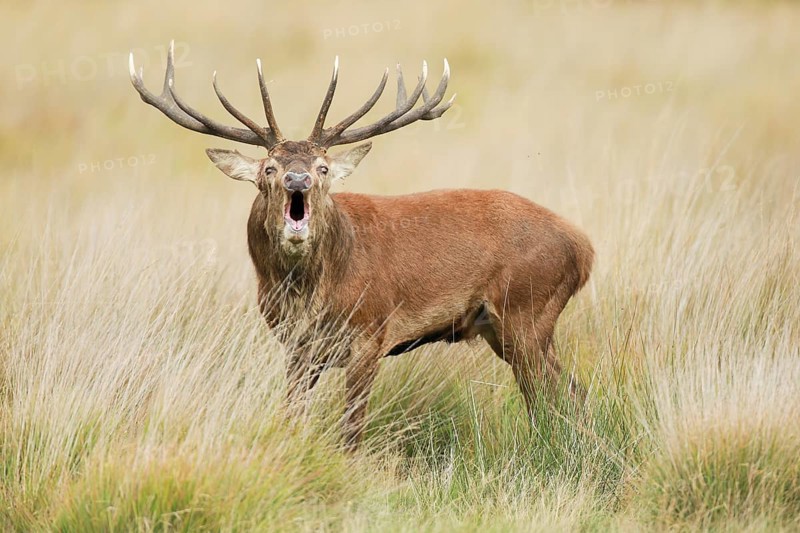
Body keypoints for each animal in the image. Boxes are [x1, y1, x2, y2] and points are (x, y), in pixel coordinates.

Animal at [129, 42, 594, 449]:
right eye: (269, 169)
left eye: (323, 167)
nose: (297, 179)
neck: (312, 294)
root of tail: (584, 247)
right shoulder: (295, 346)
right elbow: (291, 415)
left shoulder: (371, 332)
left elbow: (351, 430)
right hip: (510, 325)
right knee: (571, 390)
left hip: (527, 309)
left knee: (552, 396)